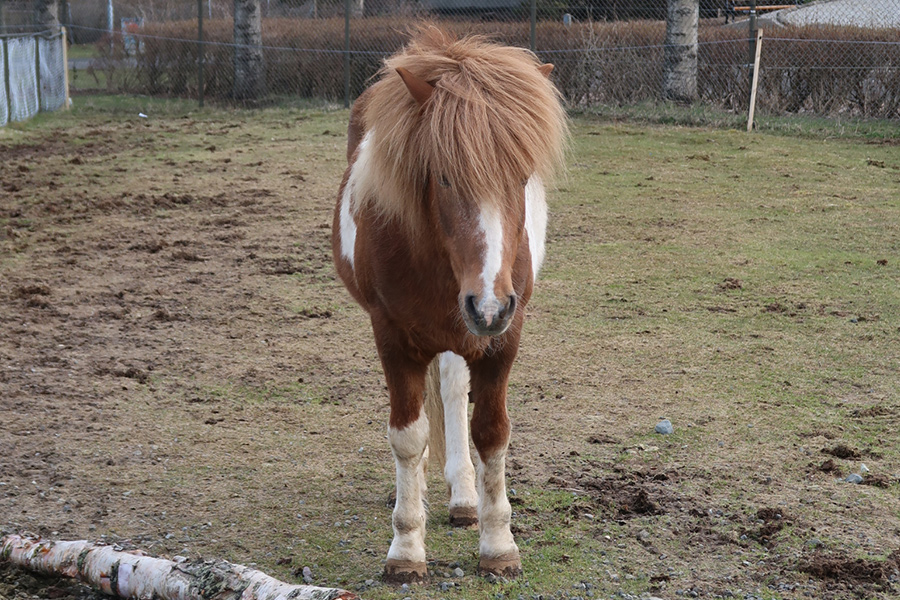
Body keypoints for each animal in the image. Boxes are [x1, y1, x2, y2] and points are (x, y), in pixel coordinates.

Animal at [334, 27, 568, 580]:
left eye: (521, 175)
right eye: (442, 176)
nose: (488, 305)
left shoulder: (505, 336)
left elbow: (491, 431)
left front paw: (498, 544)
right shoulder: (392, 335)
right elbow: (406, 435)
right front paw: (405, 550)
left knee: (454, 391)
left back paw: (463, 499)